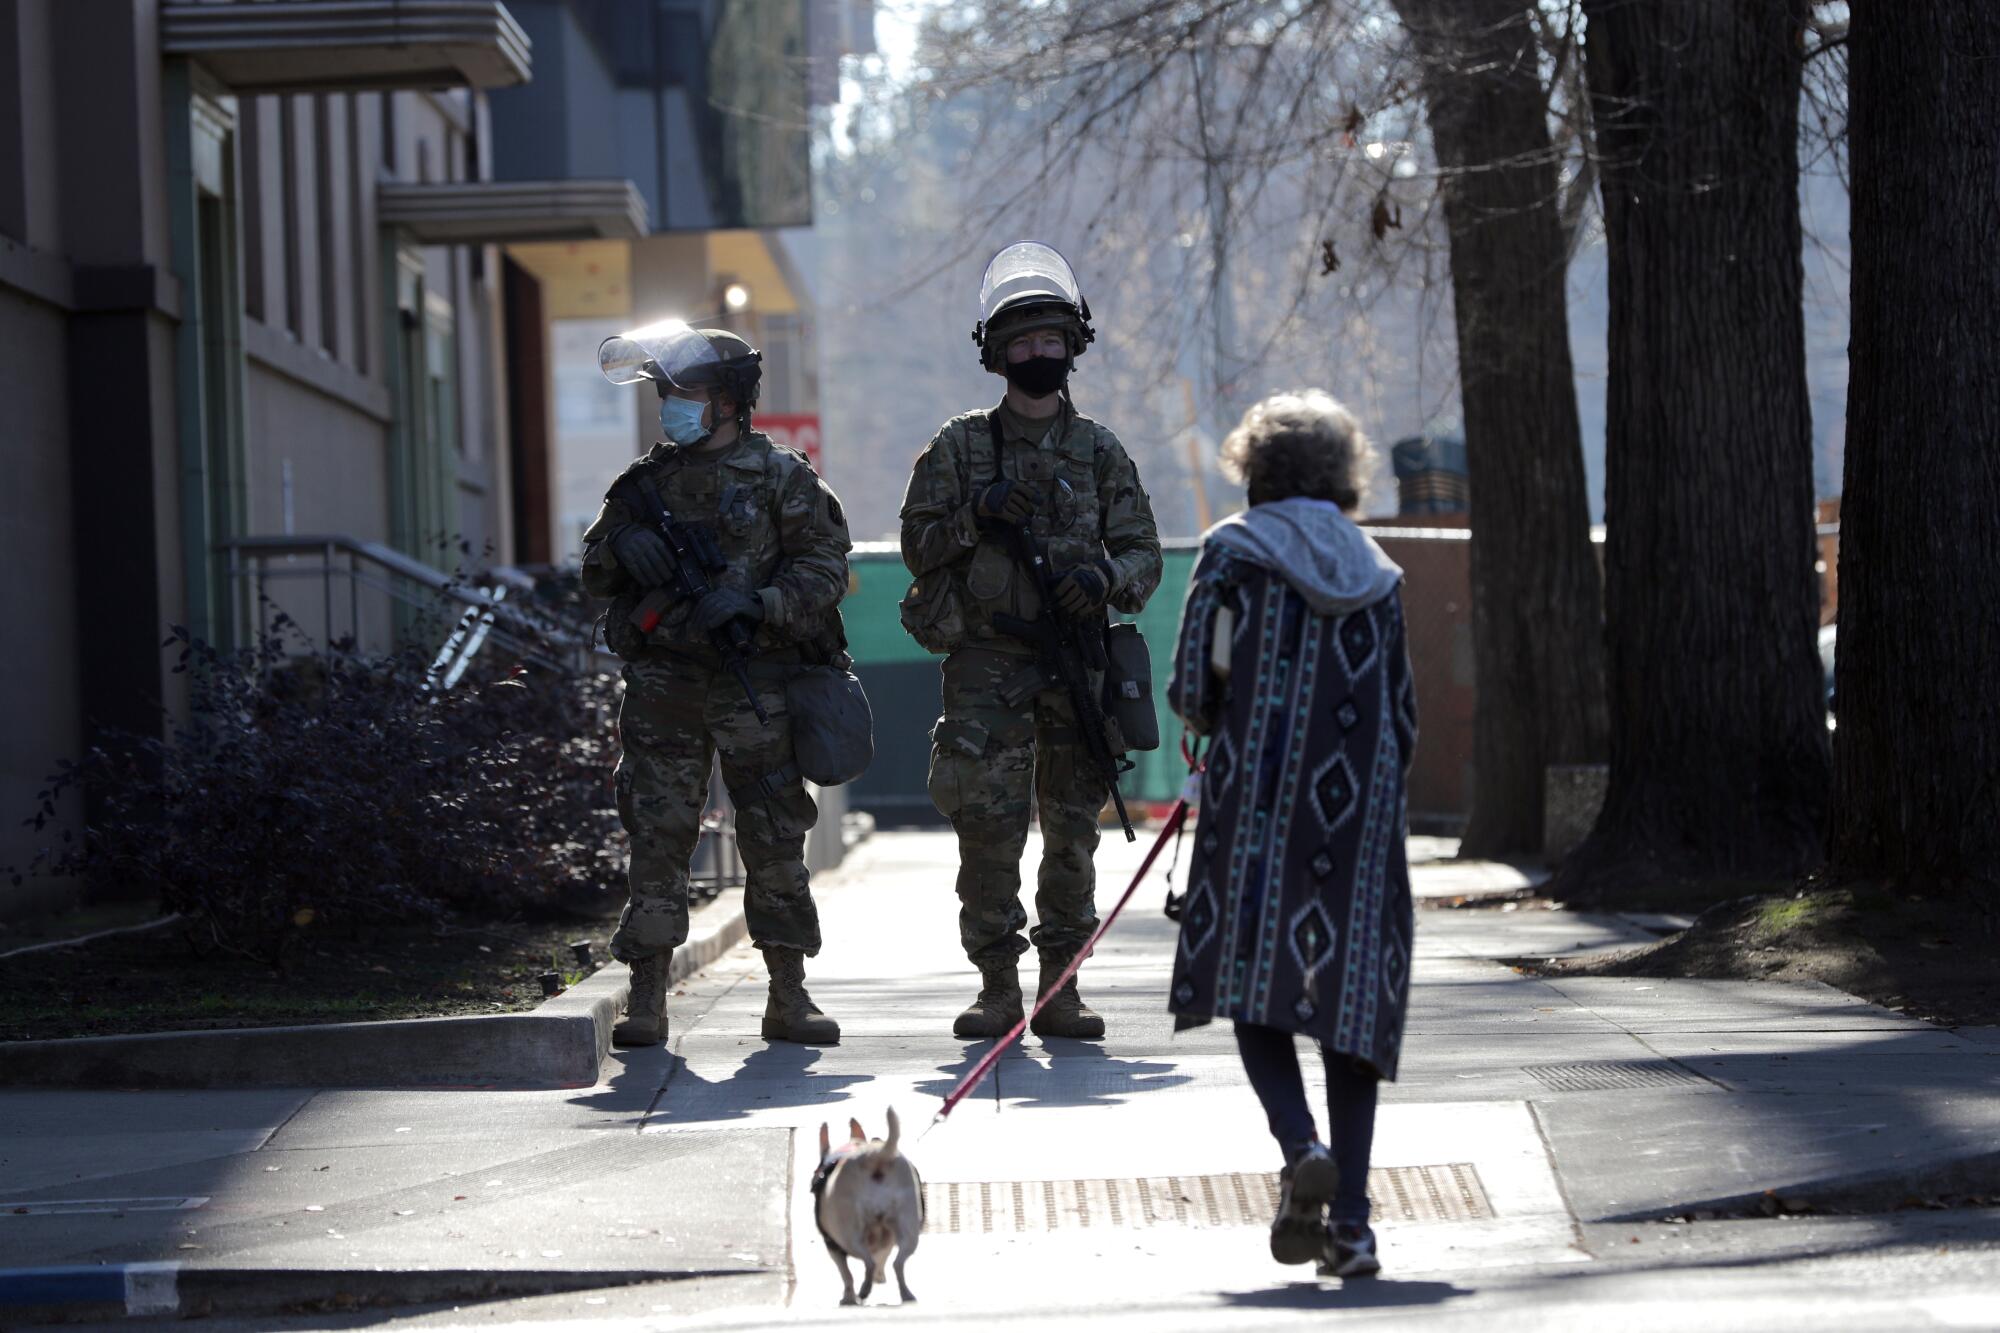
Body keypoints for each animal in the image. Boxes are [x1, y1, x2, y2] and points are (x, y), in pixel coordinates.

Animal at [808, 1096, 924, 1296]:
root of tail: (875, 1156)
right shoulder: (885, 1241)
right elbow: (881, 1256)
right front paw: (879, 1277)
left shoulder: (833, 1246)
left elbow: (846, 1274)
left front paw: (848, 1296)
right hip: (908, 1228)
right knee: (897, 1262)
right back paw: (905, 1294)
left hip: (849, 1235)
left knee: (867, 1262)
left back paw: (864, 1289)